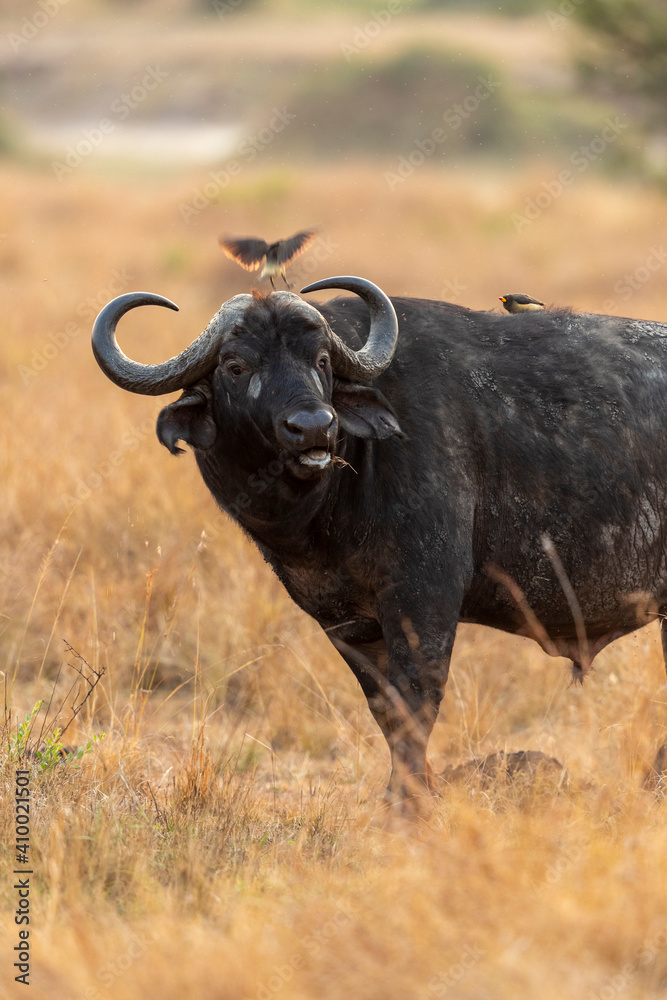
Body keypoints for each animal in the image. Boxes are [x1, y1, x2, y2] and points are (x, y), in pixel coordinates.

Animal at [92, 278, 667, 800]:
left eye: (322, 361)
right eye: (236, 366)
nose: (313, 426)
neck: (336, 502)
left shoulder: (425, 598)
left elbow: (417, 703)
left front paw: (409, 805)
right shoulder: (346, 621)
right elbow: (385, 709)